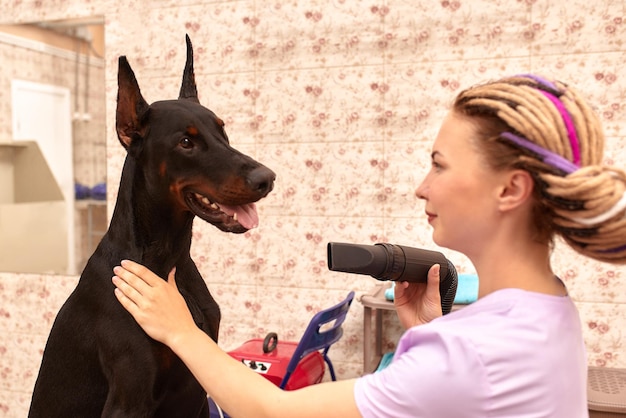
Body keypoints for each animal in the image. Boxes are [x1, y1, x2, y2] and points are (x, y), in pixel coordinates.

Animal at [28, 34, 272, 416]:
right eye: (186, 142)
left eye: (224, 131)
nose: (267, 178)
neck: (168, 259)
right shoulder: (130, 395)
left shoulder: (198, 386)